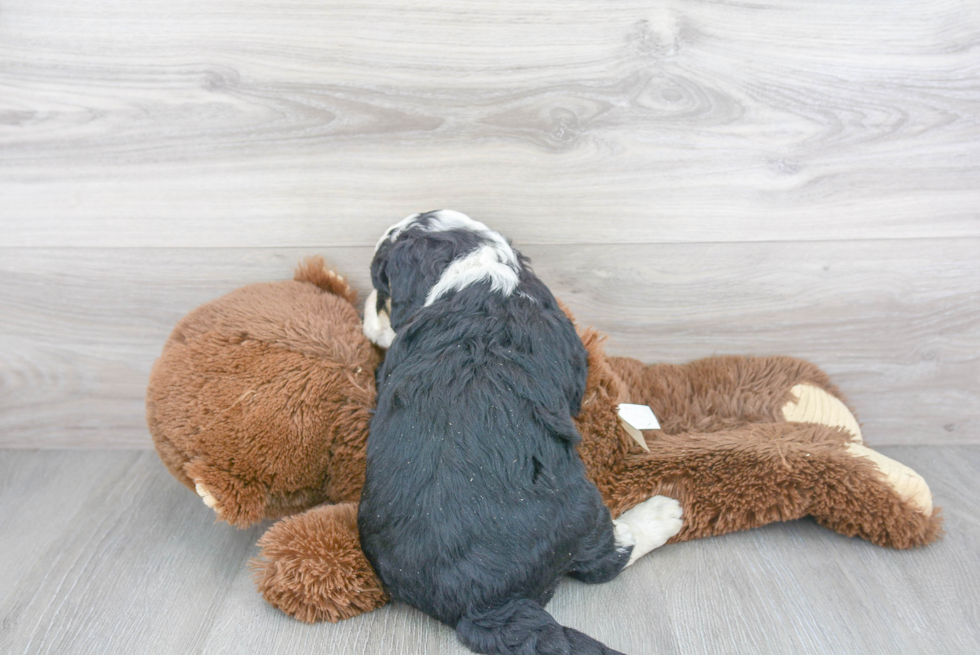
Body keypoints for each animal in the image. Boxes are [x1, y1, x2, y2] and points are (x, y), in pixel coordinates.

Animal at [358, 211, 680, 655]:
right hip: (582, 511)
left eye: (381, 288)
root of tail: (480, 605)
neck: (476, 264)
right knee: (607, 559)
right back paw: (663, 513)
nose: (364, 315)